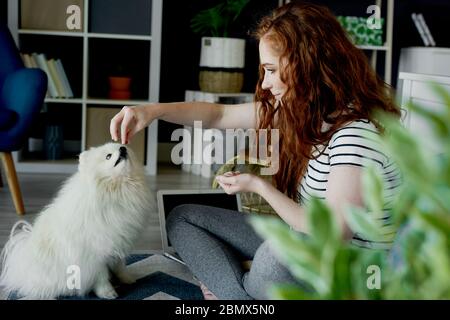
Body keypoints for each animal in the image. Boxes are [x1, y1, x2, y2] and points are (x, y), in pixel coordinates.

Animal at [0, 143, 153, 300]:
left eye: (123, 147)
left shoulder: (118, 242)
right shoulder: (94, 254)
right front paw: (107, 292)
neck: (117, 189)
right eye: (108, 156)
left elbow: (120, 266)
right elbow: (101, 276)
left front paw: (127, 279)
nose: (123, 149)